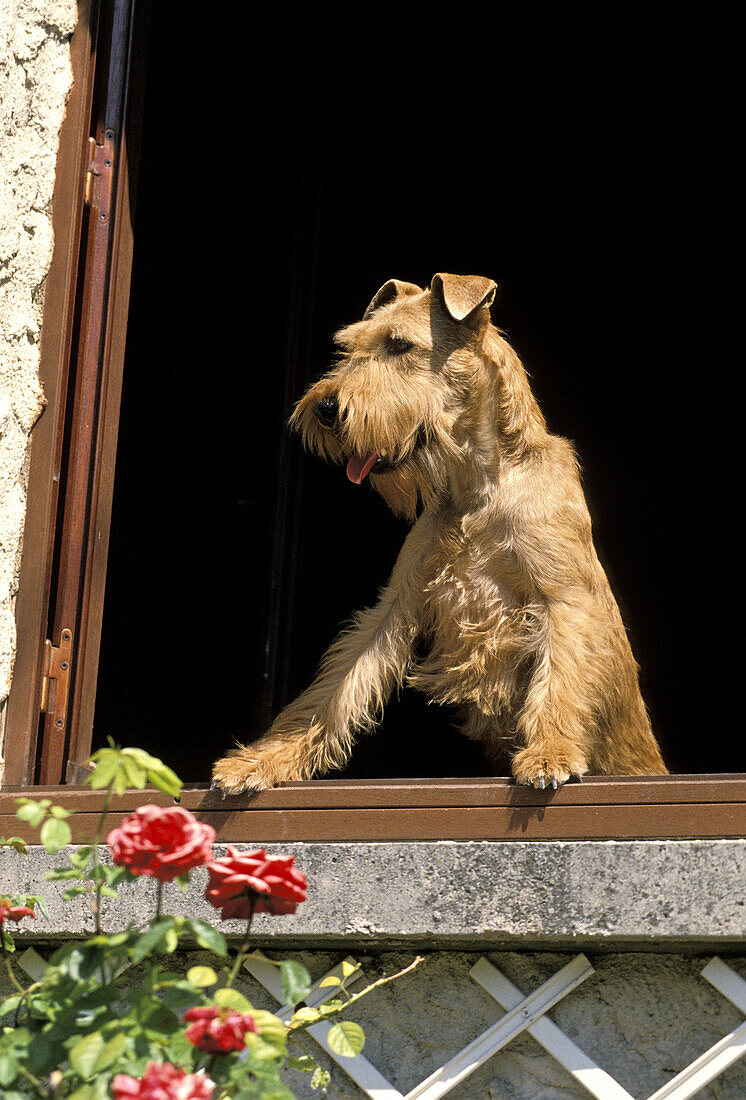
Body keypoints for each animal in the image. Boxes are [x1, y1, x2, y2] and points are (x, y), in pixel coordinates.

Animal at [212, 272, 673, 792]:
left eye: (399, 345)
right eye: (349, 347)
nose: (325, 408)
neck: (477, 488)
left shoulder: (563, 600)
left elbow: (560, 680)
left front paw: (549, 753)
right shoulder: (398, 605)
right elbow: (335, 689)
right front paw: (263, 760)